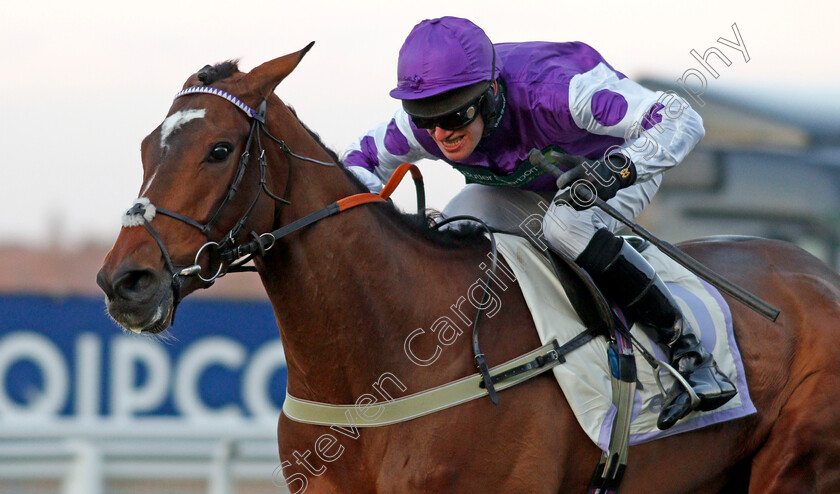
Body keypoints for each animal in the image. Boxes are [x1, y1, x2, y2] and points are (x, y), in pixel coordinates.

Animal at [95, 45, 840, 490]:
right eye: (145, 147)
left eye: (219, 150)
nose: (123, 282)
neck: (381, 361)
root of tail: (818, 274)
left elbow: (669, 112)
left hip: (794, 464)